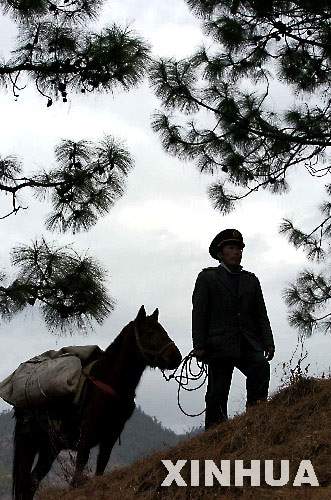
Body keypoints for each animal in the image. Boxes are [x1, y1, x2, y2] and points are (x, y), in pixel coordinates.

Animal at [11, 304, 182, 500]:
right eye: (150, 332)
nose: (176, 357)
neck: (108, 383)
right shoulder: (86, 437)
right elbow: (77, 478)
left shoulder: (109, 438)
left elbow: (100, 469)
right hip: (30, 442)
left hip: (50, 447)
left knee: (32, 481)